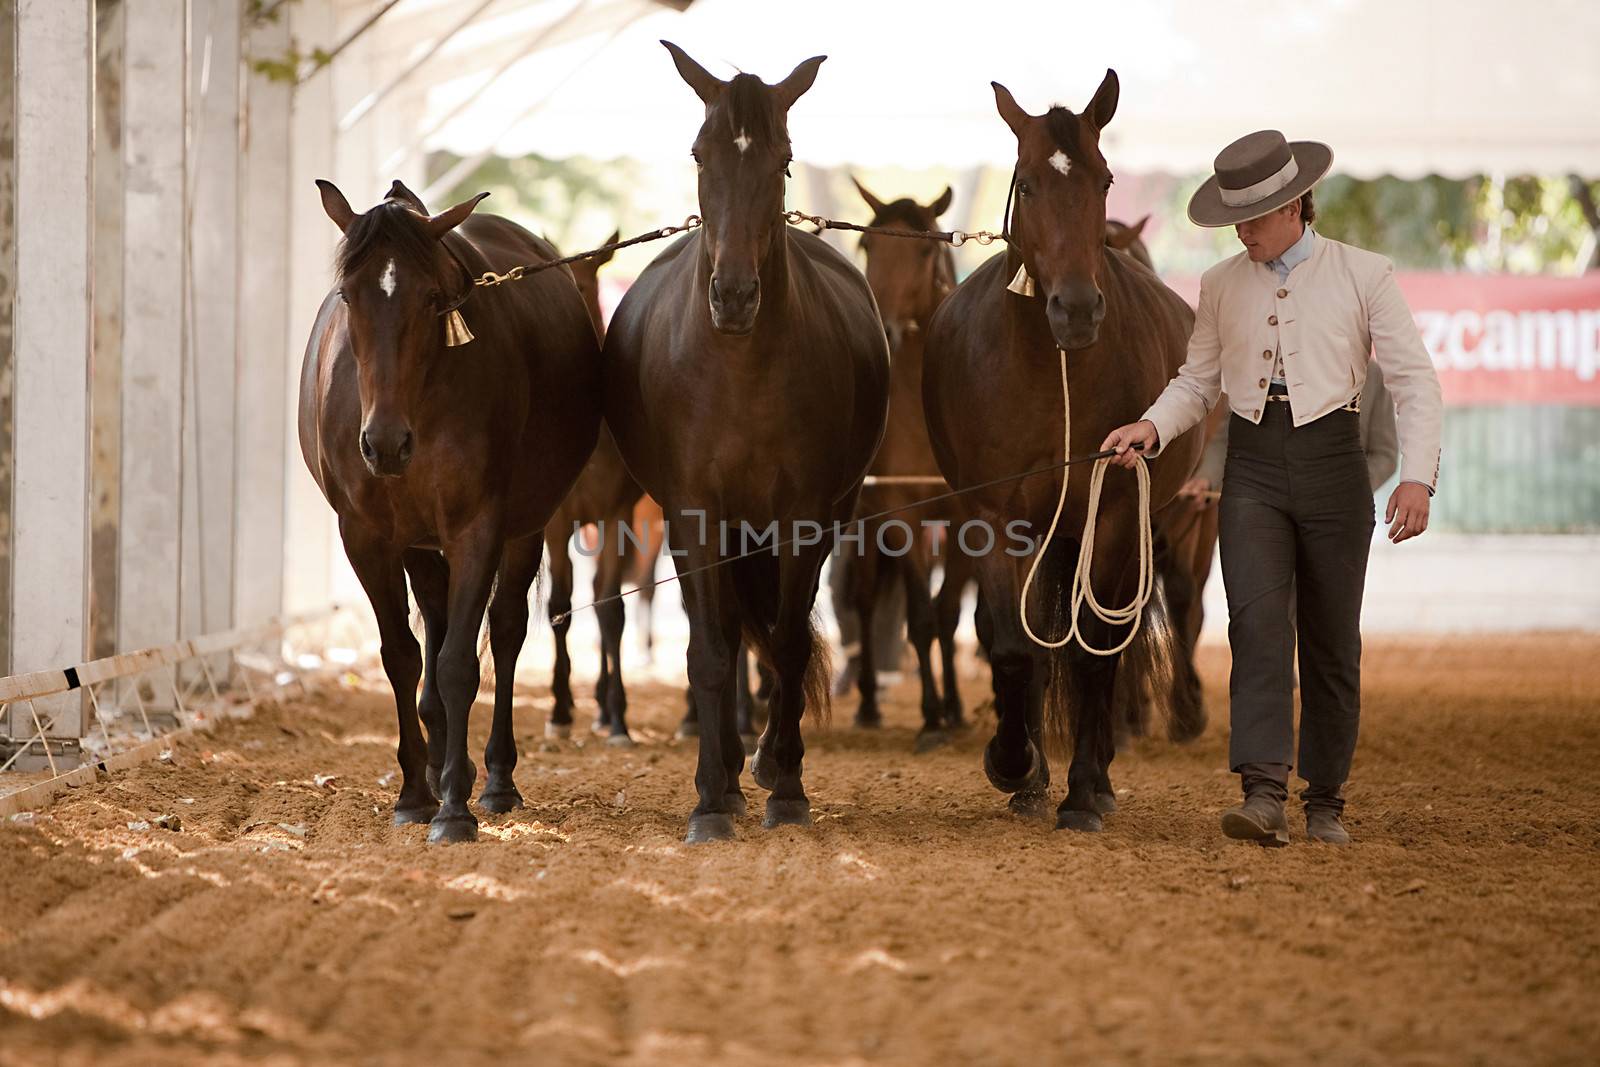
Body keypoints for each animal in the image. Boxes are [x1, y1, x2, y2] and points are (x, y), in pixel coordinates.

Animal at [300, 179, 601, 844]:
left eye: (434, 298)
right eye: (348, 295)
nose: (384, 443)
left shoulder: (477, 528)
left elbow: (460, 662)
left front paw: (456, 809)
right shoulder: (367, 537)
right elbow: (402, 657)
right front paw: (415, 793)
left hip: (525, 528)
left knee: (505, 632)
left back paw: (493, 778)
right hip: (417, 543)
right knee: (432, 627)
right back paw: (440, 763)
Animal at [604, 41, 896, 844]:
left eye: (784, 159)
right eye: (699, 153)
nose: (733, 295)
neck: (739, 368)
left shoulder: (803, 517)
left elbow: (790, 643)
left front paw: (786, 785)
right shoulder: (694, 515)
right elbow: (710, 648)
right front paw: (711, 797)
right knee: (729, 631)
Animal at [928, 75, 1203, 831]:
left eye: (1103, 179)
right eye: (1026, 183)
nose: (1077, 309)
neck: (1052, 371)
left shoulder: (1112, 513)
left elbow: (1089, 651)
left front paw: (1083, 788)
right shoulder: (995, 518)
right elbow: (1011, 645)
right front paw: (1014, 764)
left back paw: (1097, 775)